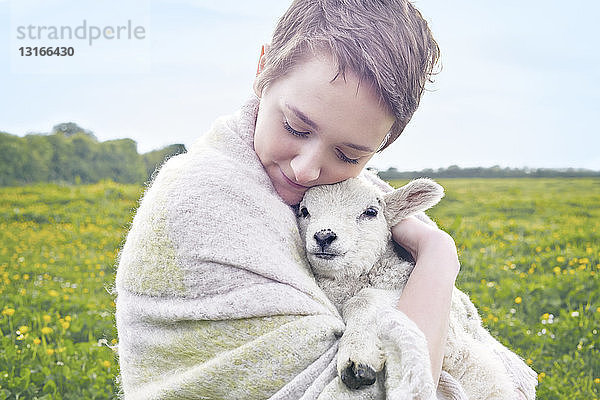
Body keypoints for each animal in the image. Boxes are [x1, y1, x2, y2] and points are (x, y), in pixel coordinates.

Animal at [298, 177, 536, 400]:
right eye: (304, 211)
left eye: (371, 212)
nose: (324, 236)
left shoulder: (451, 338)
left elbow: (362, 299)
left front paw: (357, 356)